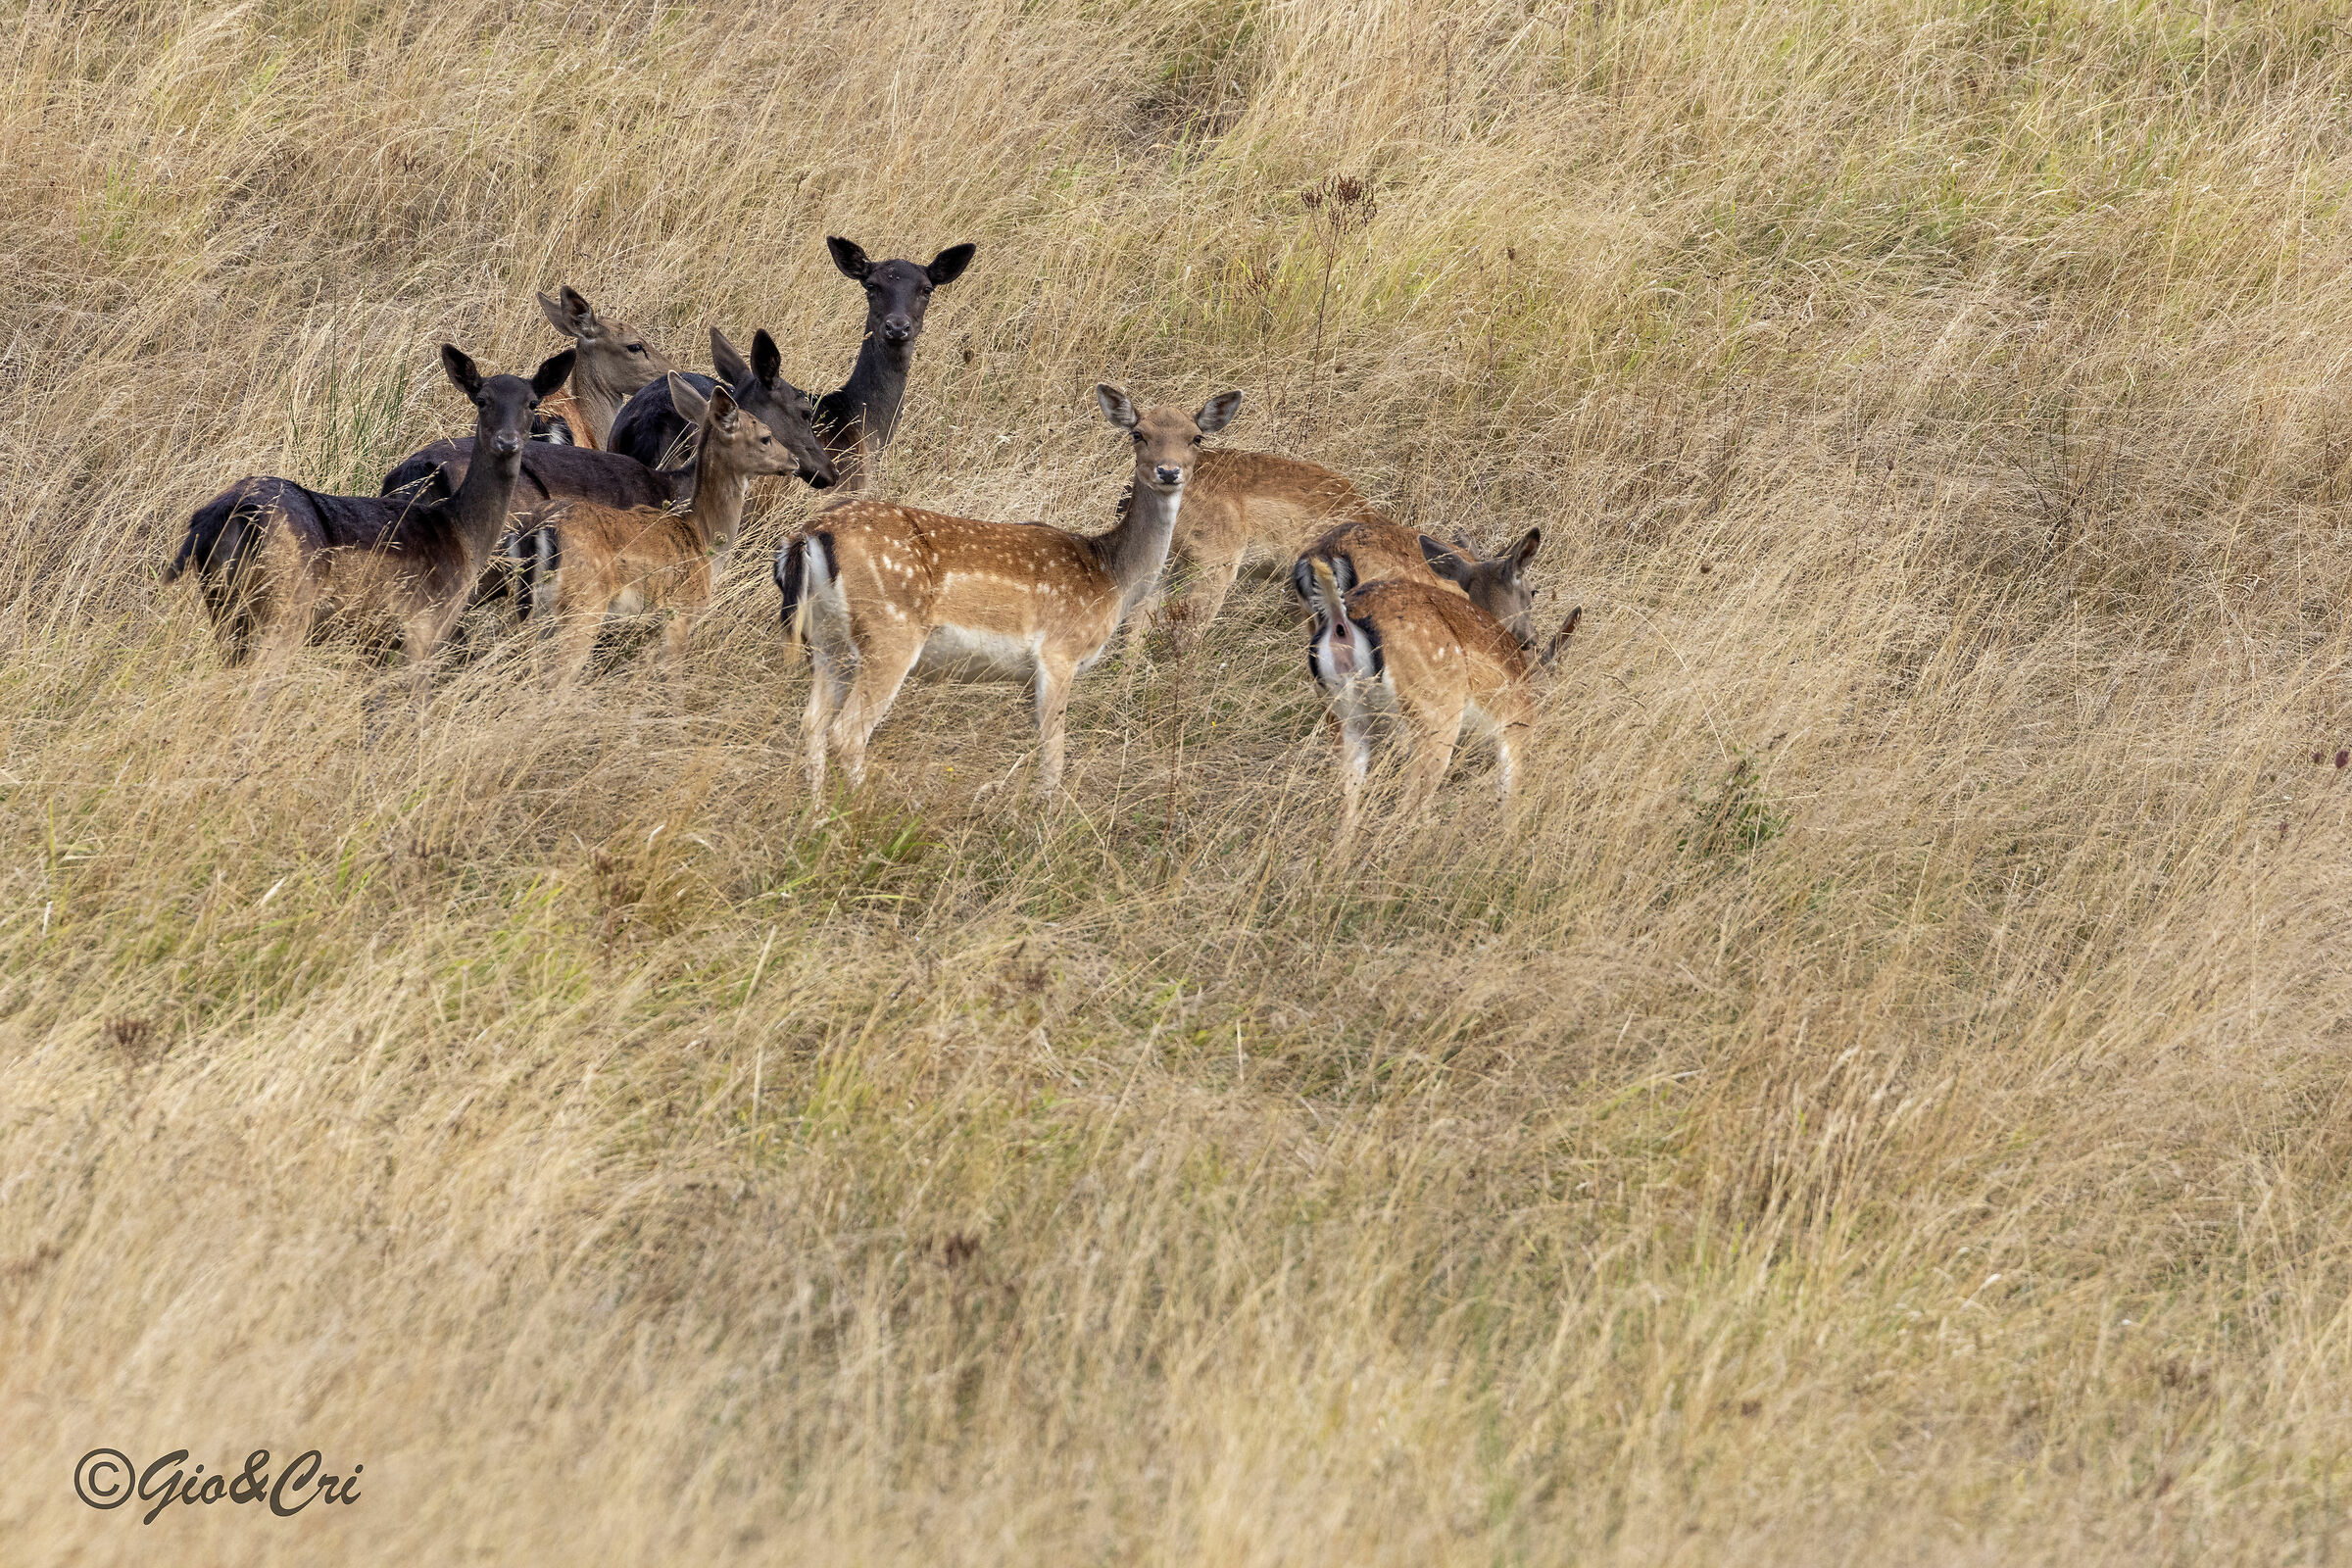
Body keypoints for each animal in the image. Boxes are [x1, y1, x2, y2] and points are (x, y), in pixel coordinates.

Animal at [165, 345, 575, 684]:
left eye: (532, 402)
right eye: (481, 399)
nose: (508, 441)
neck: (460, 533)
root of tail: (225, 514)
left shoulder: (373, 641)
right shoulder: (422, 626)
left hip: (224, 608)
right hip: (284, 610)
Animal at [503, 377, 799, 685]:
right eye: (766, 436)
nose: (794, 461)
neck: (702, 536)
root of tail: (538, 533)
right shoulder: (680, 614)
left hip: (529, 611)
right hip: (582, 607)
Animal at [776, 384, 1241, 798]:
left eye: (1196, 437)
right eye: (1138, 433)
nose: (1168, 471)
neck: (1111, 576)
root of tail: (810, 534)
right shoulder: (1059, 652)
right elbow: (1054, 755)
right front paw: (1043, 817)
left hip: (828, 641)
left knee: (811, 724)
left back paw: (816, 815)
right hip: (890, 631)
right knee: (847, 732)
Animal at [1300, 555, 1579, 834]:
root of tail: (1341, 623)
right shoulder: (1515, 725)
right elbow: (1509, 798)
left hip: (1344, 718)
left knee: (1346, 811)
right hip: (1434, 713)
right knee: (1408, 806)